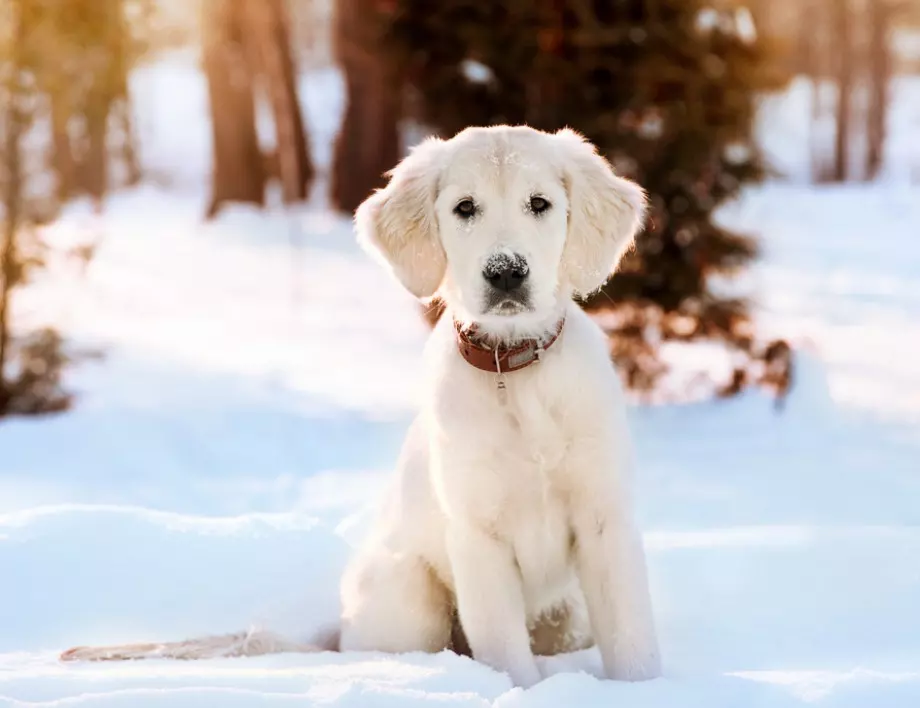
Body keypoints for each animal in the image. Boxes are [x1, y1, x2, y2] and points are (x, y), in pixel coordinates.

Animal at [59, 126, 660, 684]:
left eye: (540, 204)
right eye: (465, 208)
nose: (506, 271)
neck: (514, 373)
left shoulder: (605, 520)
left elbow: (631, 638)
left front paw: (642, 688)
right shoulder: (476, 535)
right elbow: (507, 655)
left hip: (567, 615)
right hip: (411, 595)